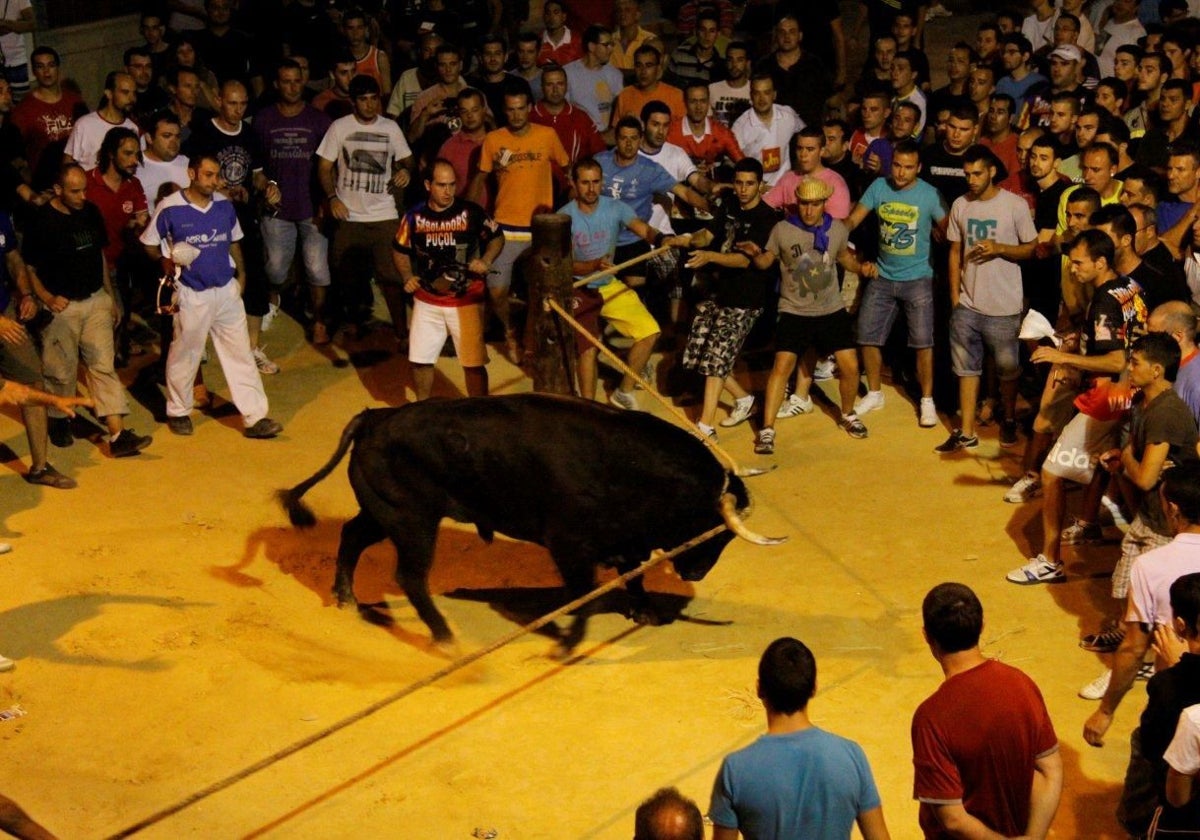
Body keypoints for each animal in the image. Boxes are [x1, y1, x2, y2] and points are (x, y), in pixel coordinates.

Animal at [279, 391, 787, 652]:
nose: (696, 572)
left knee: (351, 536)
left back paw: (346, 597)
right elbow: (583, 593)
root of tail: (375, 418)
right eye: (708, 528)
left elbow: (632, 575)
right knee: (410, 576)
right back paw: (443, 635)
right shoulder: (569, 546)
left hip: (382, 514)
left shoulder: (627, 541)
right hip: (413, 522)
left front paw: (643, 609)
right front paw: (566, 641)